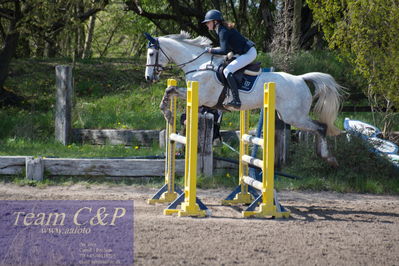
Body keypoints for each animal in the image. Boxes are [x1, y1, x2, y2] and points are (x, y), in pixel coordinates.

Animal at [145, 30, 346, 164]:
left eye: (151, 53)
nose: (148, 77)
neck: (199, 65)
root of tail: (301, 78)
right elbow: (171, 92)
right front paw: (169, 117)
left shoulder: (201, 97)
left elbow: (173, 95)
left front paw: (168, 115)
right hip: (288, 115)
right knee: (318, 128)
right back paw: (323, 155)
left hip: (294, 116)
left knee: (321, 127)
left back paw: (328, 157)